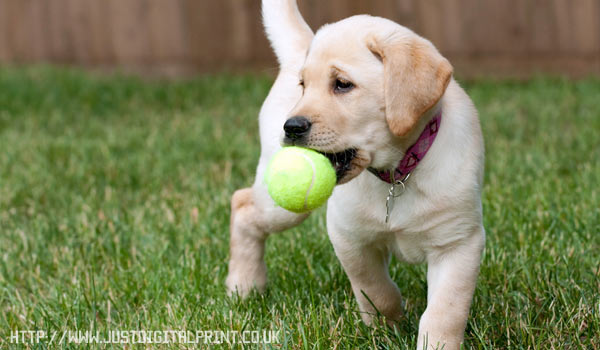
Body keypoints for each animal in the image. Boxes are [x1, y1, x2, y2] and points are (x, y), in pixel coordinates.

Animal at [227, 1, 486, 348]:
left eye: (342, 84)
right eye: (303, 86)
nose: (291, 127)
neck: (396, 174)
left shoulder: (458, 243)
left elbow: (445, 312)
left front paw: (434, 342)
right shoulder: (349, 236)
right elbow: (374, 289)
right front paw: (387, 326)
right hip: (281, 206)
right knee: (242, 204)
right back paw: (244, 286)